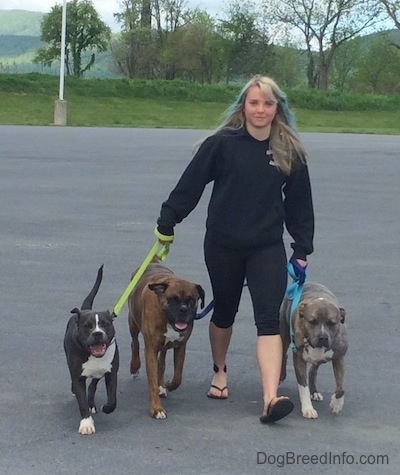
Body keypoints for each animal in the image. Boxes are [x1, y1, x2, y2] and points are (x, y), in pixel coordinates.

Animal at [63, 266, 119, 436]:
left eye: (105, 323)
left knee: (93, 385)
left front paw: (106, 407)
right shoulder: (78, 377)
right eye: (87, 326)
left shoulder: (111, 372)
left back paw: (92, 404)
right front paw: (86, 424)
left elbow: (113, 399)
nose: (97, 333)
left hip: (99, 372)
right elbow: (81, 401)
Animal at [127, 260, 205, 420]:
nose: (183, 310)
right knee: (134, 343)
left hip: (164, 345)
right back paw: (135, 366)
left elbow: (177, 377)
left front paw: (167, 385)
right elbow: (151, 381)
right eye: (173, 299)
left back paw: (161, 385)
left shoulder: (180, 347)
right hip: (133, 322)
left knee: (161, 362)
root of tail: (153, 261)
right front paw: (156, 409)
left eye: (191, 301)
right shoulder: (150, 350)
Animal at [280, 282, 348, 420]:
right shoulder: (299, 359)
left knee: (313, 370)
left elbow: (341, 387)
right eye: (312, 322)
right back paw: (281, 374)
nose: (323, 337)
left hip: (322, 359)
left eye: (332, 323)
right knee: (282, 354)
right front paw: (308, 409)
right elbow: (303, 386)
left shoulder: (339, 357)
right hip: (284, 334)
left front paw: (336, 404)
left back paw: (314, 392)